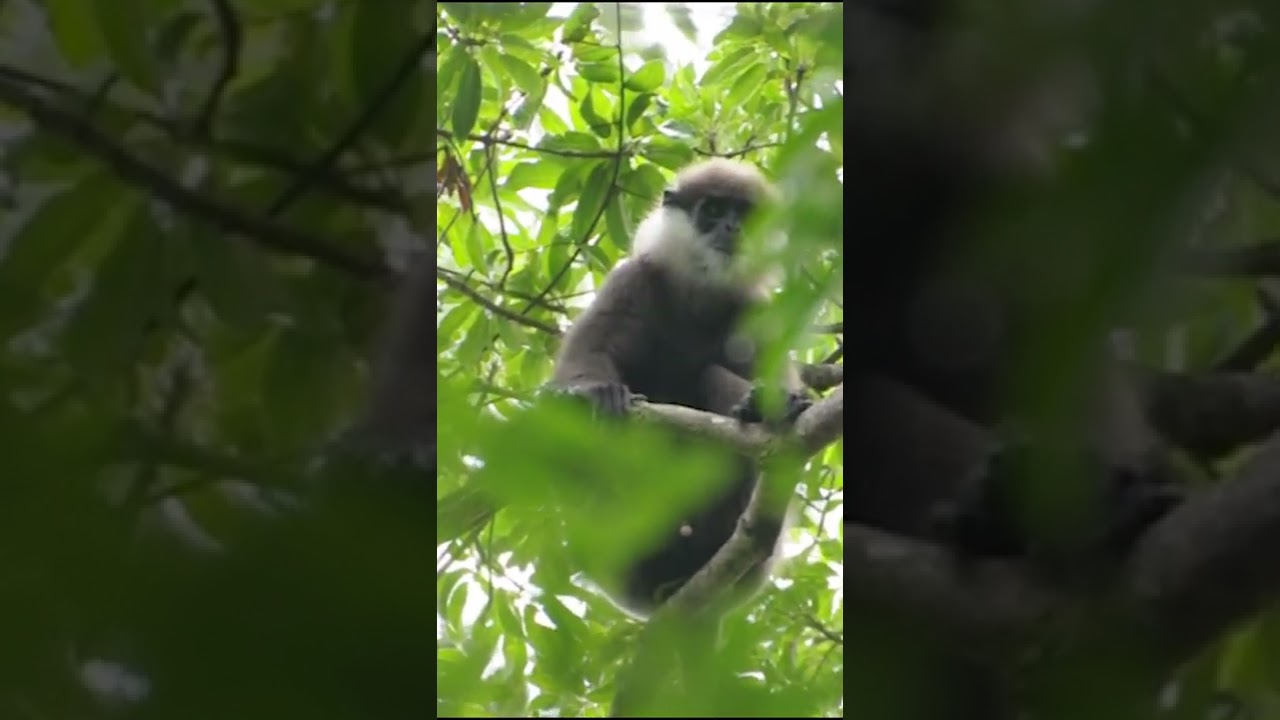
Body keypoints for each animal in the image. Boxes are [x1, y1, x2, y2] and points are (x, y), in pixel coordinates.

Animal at [546, 158, 813, 618]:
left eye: (744, 215)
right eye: (714, 210)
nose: (731, 228)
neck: (698, 294)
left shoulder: (755, 309)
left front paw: (774, 404)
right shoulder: (631, 279)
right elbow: (582, 362)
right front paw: (595, 393)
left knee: (712, 377)